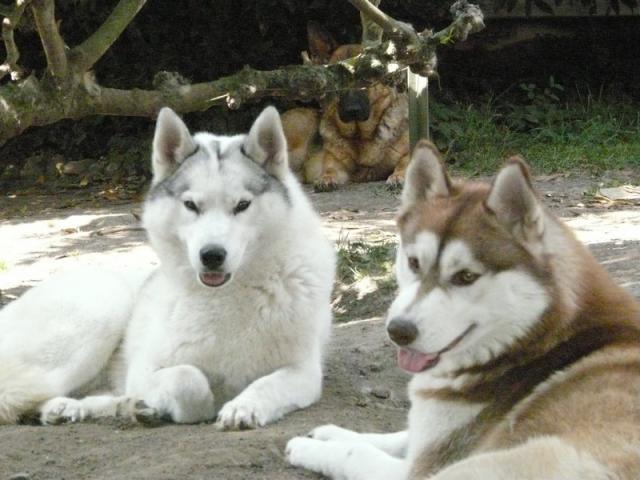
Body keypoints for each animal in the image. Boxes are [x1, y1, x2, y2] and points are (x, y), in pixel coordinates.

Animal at [282, 22, 410, 191]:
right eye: (338, 80)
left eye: (365, 76)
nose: (352, 110)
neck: (360, 136)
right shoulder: (335, 164)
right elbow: (329, 169)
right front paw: (326, 178)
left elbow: (405, 162)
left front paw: (398, 176)